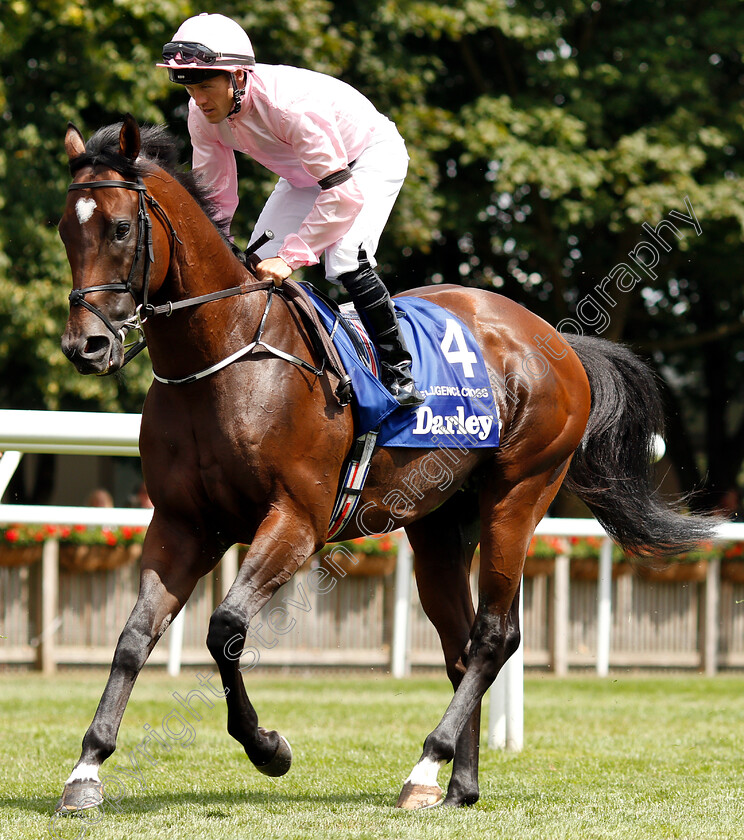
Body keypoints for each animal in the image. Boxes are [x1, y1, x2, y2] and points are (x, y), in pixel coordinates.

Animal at [55, 115, 712, 812]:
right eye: (66, 227)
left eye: (120, 228)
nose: (85, 346)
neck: (225, 358)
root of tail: (553, 338)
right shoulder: (182, 524)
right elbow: (133, 637)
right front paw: (86, 769)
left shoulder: (296, 521)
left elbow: (226, 627)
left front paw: (269, 749)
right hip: (438, 524)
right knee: (459, 642)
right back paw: (456, 787)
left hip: (518, 495)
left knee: (494, 635)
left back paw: (428, 762)